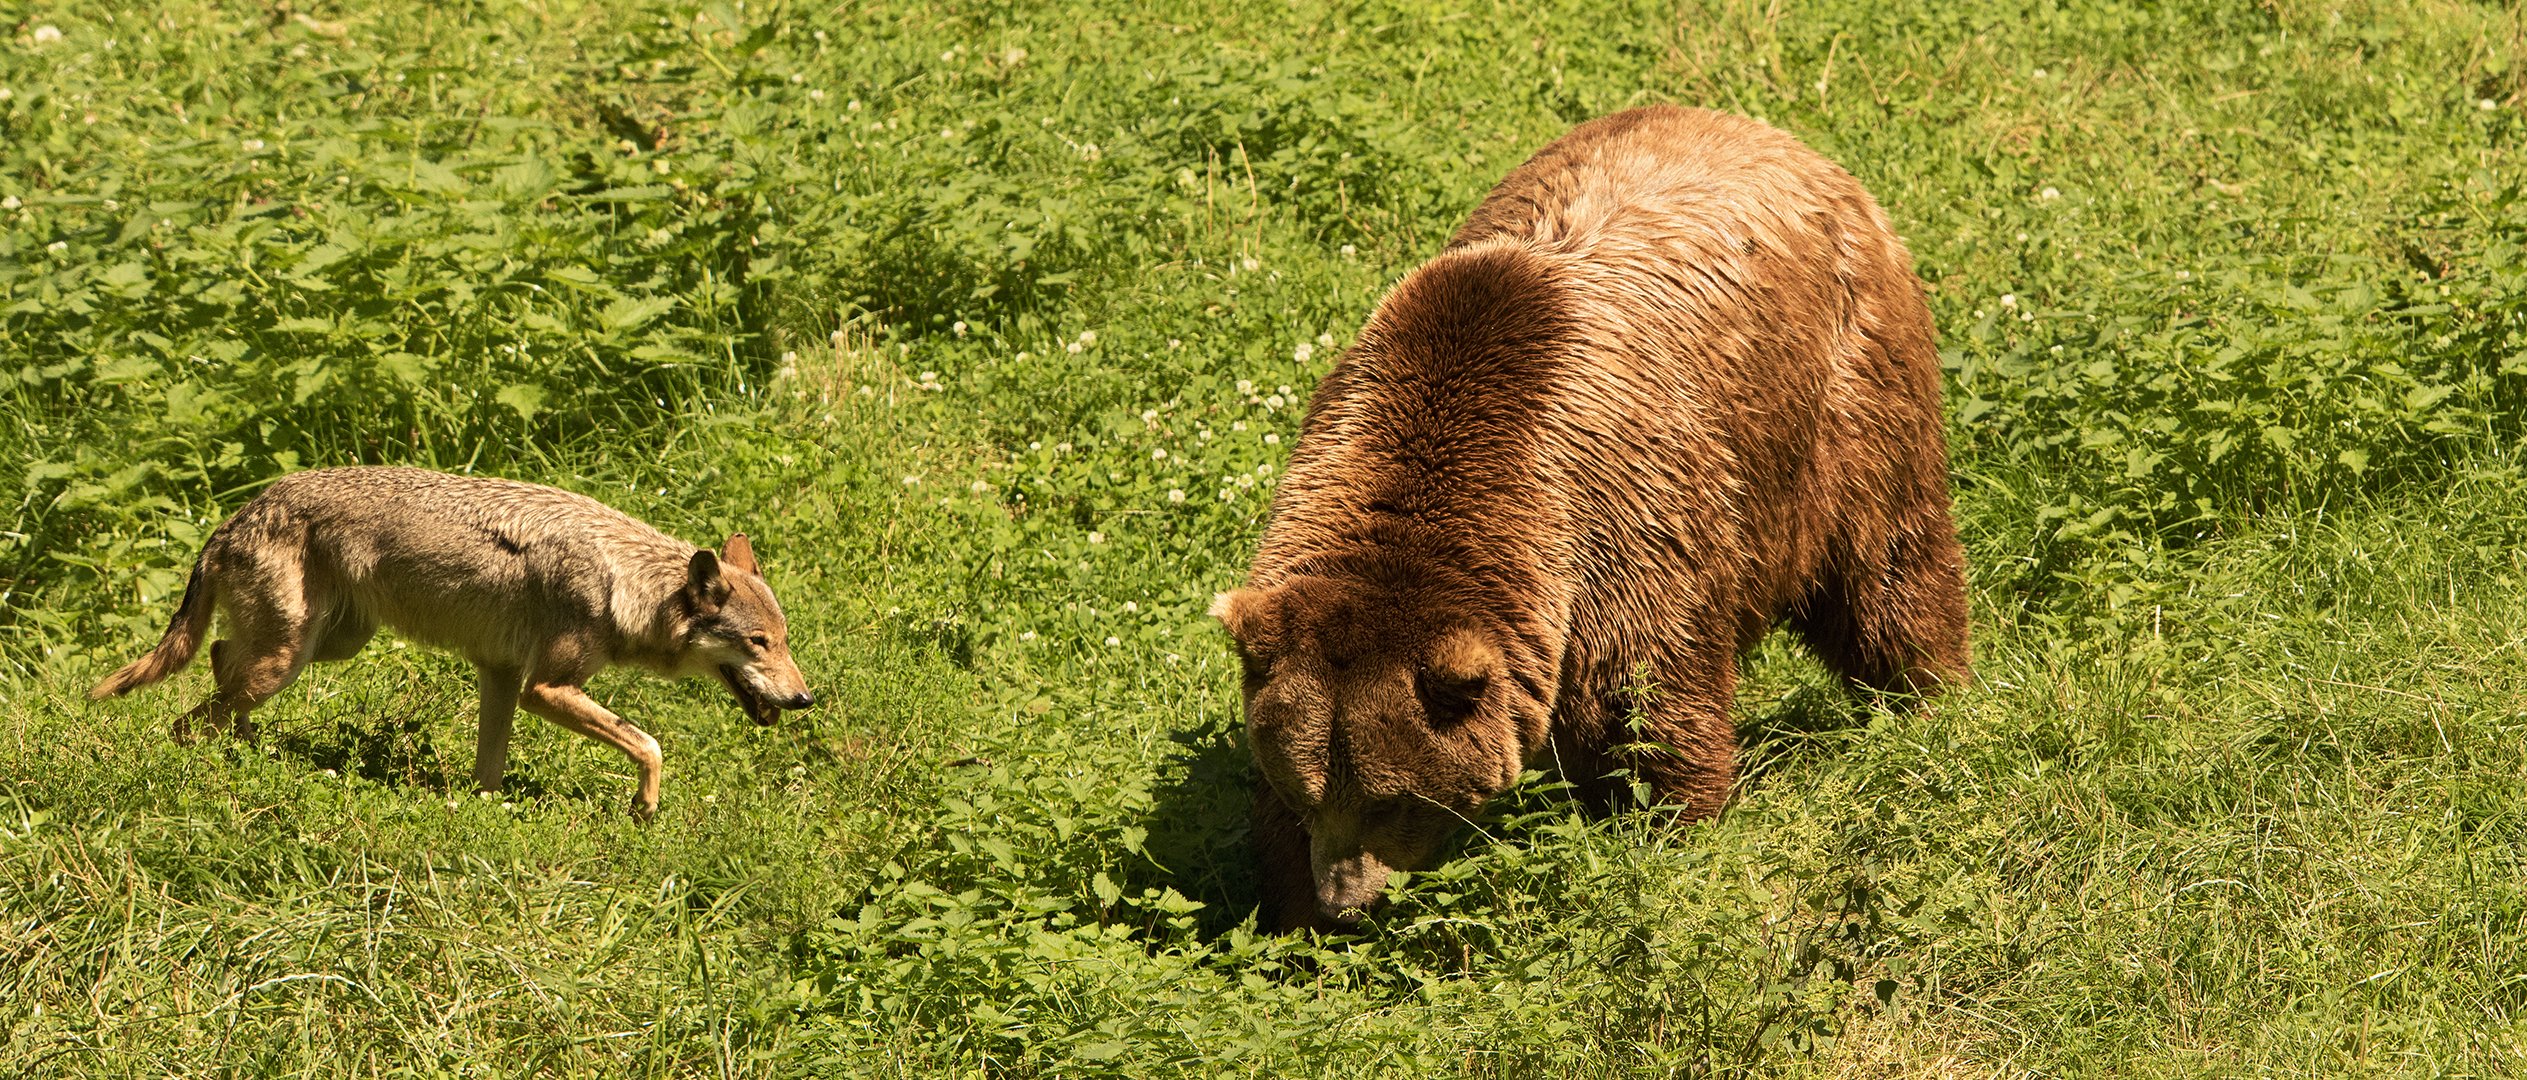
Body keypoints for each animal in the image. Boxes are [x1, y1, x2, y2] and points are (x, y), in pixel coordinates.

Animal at [89, 467, 813, 819]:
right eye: (756, 643)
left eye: (782, 641)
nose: (806, 699)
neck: (623, 584)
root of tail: (236, 516)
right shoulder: (544, 687)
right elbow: (651, 743)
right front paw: (644, 807)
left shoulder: (500, 675)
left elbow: (488, 772)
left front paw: (480, 816)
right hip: (288, 661)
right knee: (192, 715)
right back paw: (224, 764)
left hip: (325, 647)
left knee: (217, 667)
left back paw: (248, 751)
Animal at [1207, 105, 1971, 935]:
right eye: (1306, 789)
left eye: (1393, 796)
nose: (1342, 900)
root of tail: (1768, 134)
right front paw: (1288, 911)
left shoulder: (1621, 530)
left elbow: (1638, 711)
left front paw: (1664, 834)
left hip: (1838, 395)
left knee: (1886, 565)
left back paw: (1926, 699)